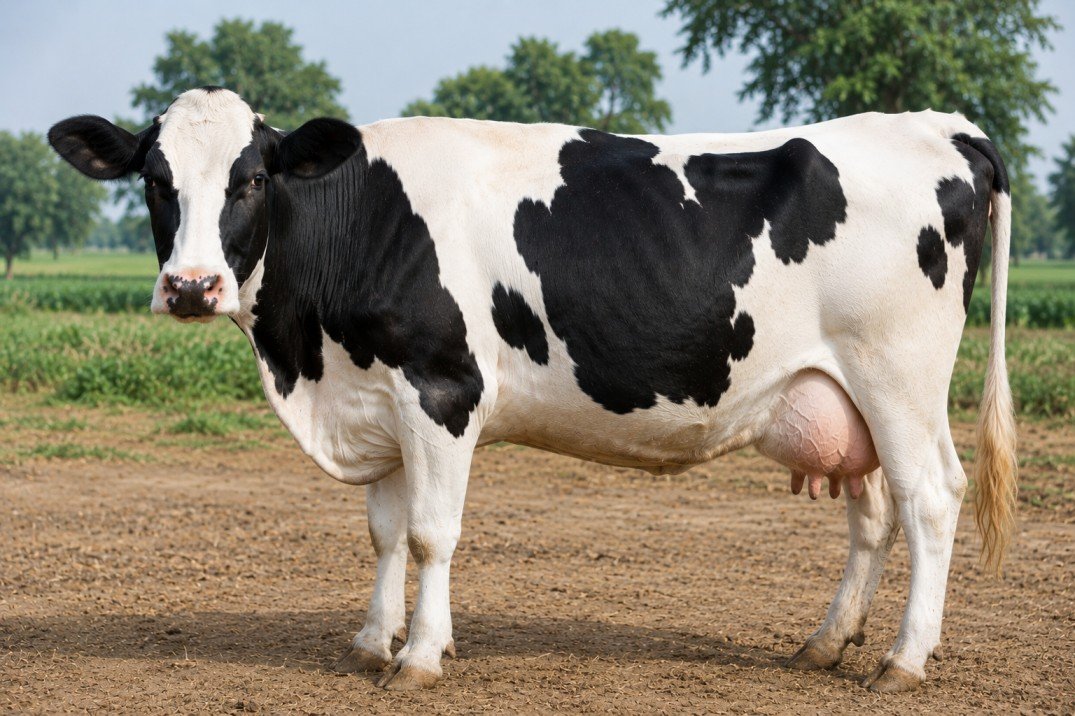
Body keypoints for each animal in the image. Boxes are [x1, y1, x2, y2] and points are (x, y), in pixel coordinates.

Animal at [48, 87, 1016, 693]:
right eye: (155, 181)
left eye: (252, 178)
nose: (191, 287)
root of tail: (941, 126)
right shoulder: (377, 399)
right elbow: (384, 533)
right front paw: (369, 642)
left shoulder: (440, 390)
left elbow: (431, 535)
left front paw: (419, 657)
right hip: (840, 395)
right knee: (873, 515)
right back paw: (824, 644)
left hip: (899, 377)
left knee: (931, 499)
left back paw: (903, 661)